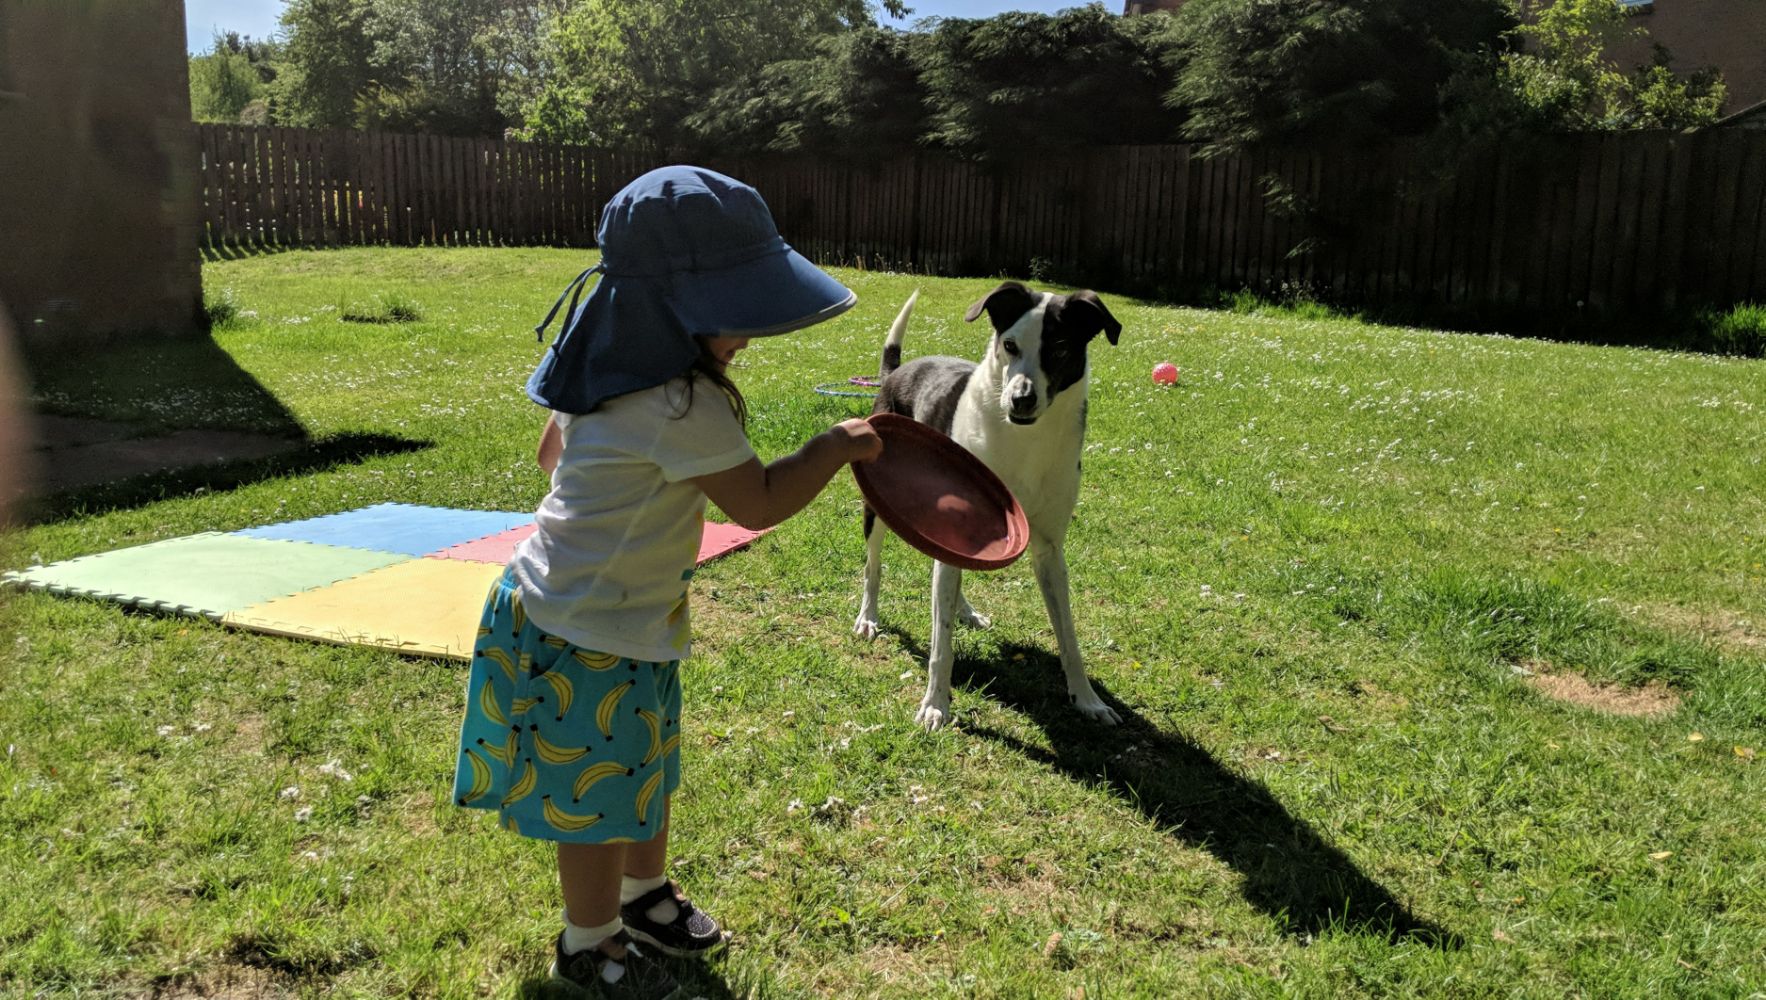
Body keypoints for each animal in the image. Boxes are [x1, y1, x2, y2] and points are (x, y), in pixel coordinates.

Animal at [854, 281, 1123, 730]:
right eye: (1009, 345)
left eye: (1061, 348)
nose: (1021, 400)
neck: (1022, 440)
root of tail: (897, 371)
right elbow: (940, 642)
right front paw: (935, 704)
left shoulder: (1049, 551)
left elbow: (1068, 635)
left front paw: (1087, 699)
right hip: (877, 512)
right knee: (874, 568)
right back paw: (868, 616)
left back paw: (965, 610)